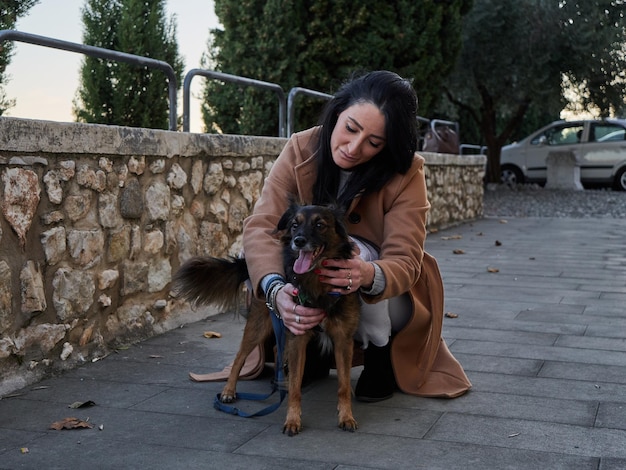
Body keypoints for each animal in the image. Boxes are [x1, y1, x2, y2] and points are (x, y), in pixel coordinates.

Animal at [174, 200, 360, 436]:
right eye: (294, 225)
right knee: (240, 357)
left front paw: (346, 417)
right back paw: (229, 391)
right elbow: (296, 390)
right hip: (259, 325)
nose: (298, 241)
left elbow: (343, 386)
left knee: (276, 350)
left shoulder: (343, 339)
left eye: (320, 225)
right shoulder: (298, 335)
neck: (317, 283)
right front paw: (292, 419)